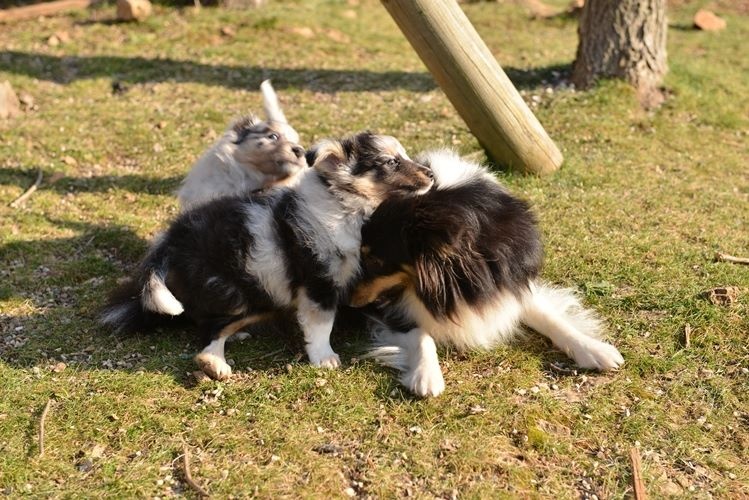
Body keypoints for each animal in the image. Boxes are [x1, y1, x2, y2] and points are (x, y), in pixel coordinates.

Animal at [102, 132, 436, 378]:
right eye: (390, 162)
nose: (431, 174)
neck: (346, 206)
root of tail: (171, 240)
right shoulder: (319, 281)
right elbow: (321, 324)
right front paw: (324, 358)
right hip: (241, 292)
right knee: (208, 334)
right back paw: (216, 363)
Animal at [354, 150, 624, 396]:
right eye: (362, 255)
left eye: (375, 261)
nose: (350, 300)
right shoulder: (392, 308)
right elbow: (421, 334)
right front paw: (426, 375)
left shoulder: (510, 282)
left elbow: (551, 318)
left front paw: (593, 349)